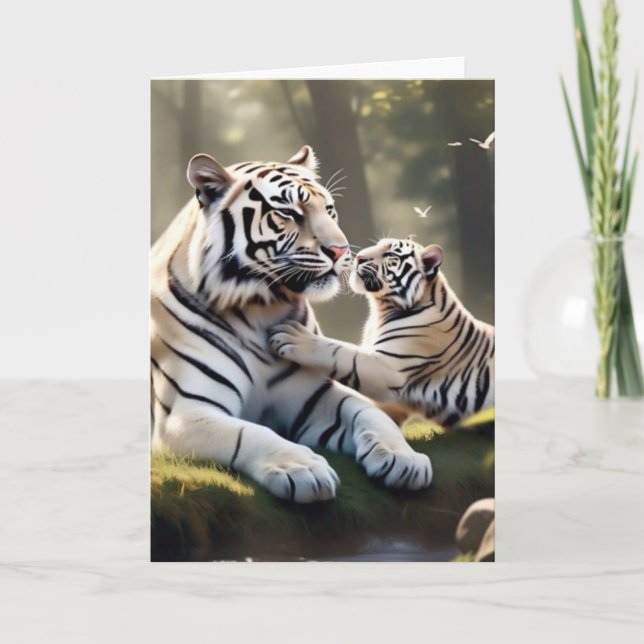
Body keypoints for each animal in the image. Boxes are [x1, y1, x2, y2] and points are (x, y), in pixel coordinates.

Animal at [150, 147, 432, 503]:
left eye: (329, 210)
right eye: (288, 212)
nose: (342, 251)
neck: (260, 309)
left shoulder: (314, 395)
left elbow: (369, 412)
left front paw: (403, 457)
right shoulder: (186, 414)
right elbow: (249, 433)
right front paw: (301, 468)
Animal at [269, 235, 494, 427]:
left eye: (390, 255)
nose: (358, 257)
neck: (380, 309)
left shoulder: (390, 367)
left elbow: (341, 352)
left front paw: (293, 338)